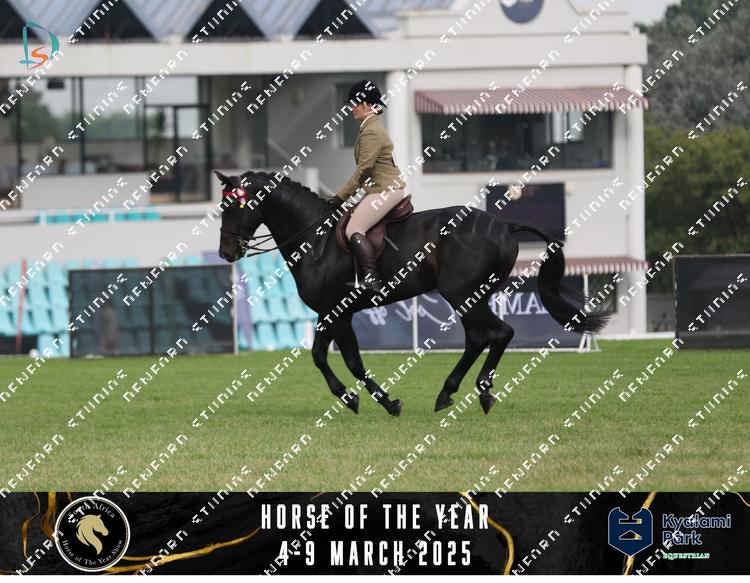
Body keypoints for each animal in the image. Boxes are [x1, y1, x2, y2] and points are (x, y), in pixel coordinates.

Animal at [216, 170, 611, 417]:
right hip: (472, 297)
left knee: (499, 333)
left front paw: (362, 401)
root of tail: (503, 224)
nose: (226, 253)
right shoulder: (338, 313)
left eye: (233, 206)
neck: (316, 239)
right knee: (479, 338)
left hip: (461, 295)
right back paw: (448, 392)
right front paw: (376, 401)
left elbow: (329, 358)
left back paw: (479, 392)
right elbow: (343, 359)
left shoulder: (335, 311)